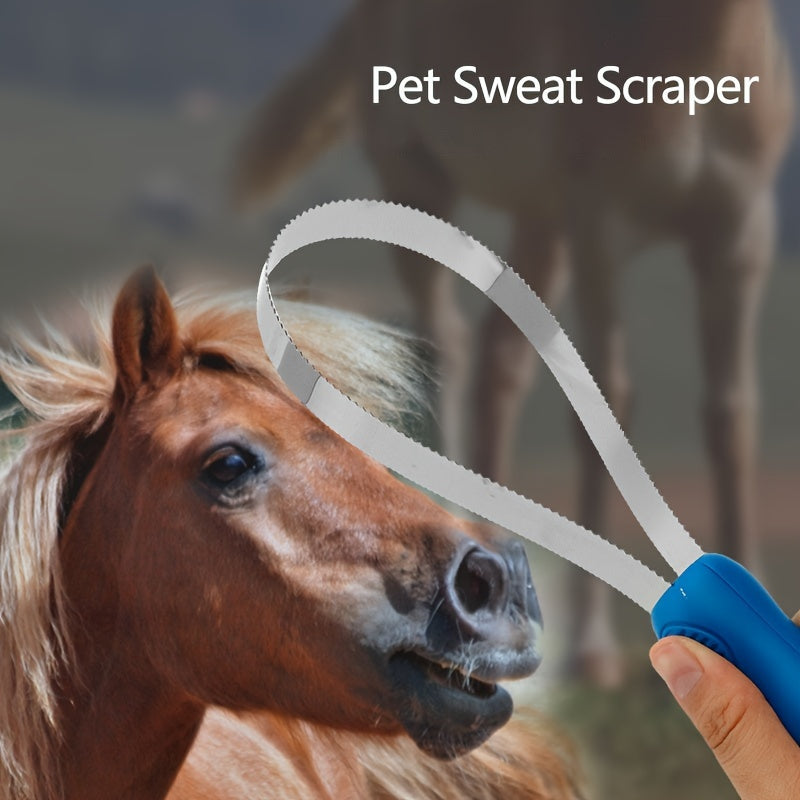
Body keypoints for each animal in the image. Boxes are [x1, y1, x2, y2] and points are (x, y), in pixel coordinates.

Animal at [233, 0, 795, 684]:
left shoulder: (740, 236)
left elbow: (731, 415)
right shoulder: (599, 233)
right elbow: (606, 410)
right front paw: (592, 650)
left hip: (540, 222)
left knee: (497, 365)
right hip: (419, 186)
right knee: (444, 345)